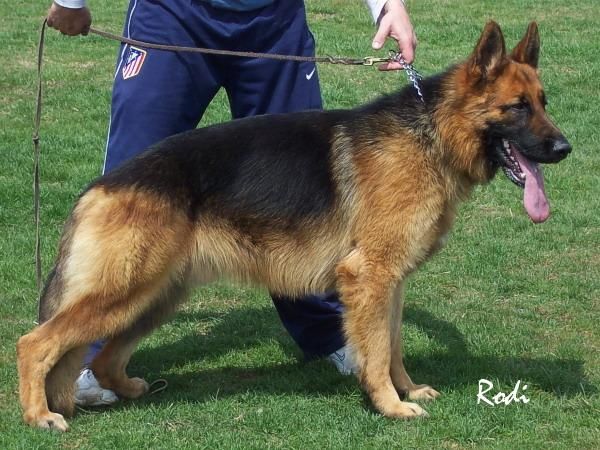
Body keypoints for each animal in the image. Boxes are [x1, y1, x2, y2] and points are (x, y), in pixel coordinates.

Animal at [17, 21, 572, 428]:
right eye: (517, 108)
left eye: (545, 103)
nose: (566, 148)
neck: (432, 134)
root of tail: (100, 187)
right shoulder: (369, 277)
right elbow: (376, 352)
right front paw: (390, 405)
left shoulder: (390, 282)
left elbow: (391, 345)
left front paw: (407, 388)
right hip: (125, 290)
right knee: (36, 343)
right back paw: (40, 415)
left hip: (155, 296)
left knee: (102, 356)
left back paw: (121, 388)